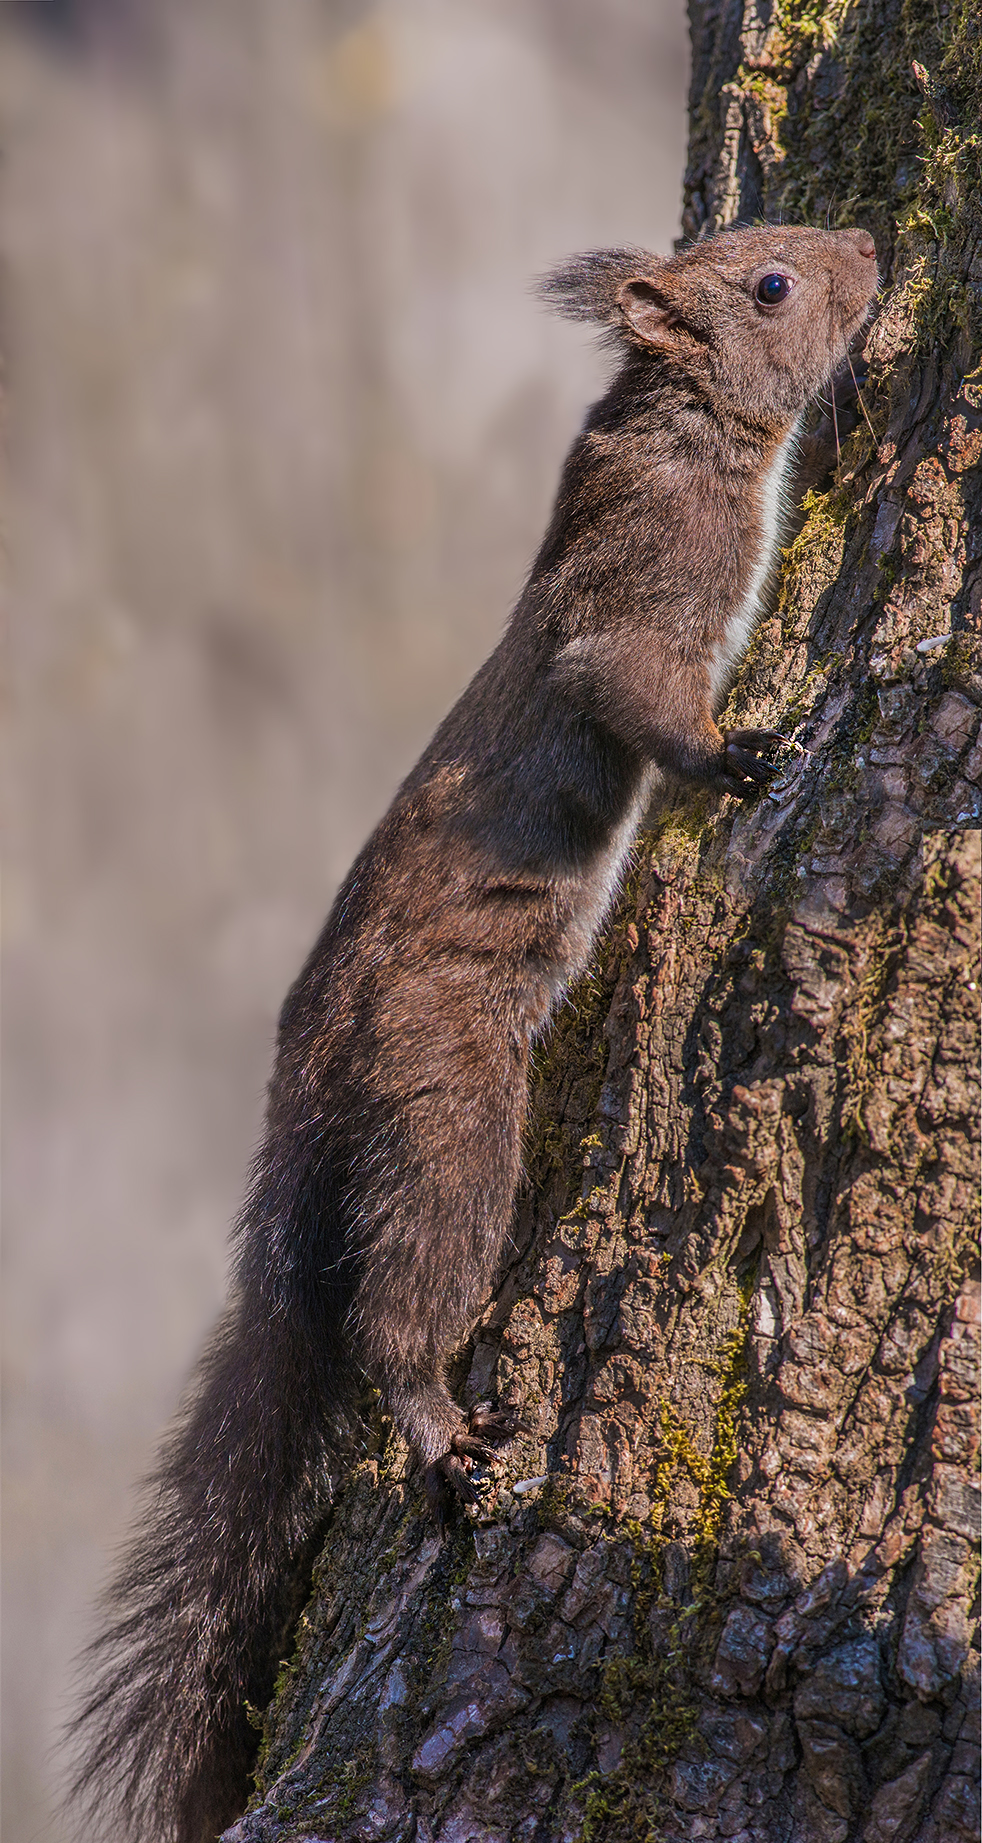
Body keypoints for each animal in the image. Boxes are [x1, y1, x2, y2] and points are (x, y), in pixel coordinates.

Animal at [69, 224, 878, 1843]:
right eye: (768, 284)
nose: (875, 250)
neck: (678, 431)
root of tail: (303, 1092)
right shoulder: (638, 598)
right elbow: (627, 690)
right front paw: (737, 756)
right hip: (444, 1101)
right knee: (396, 1303)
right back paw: (439, 1426)